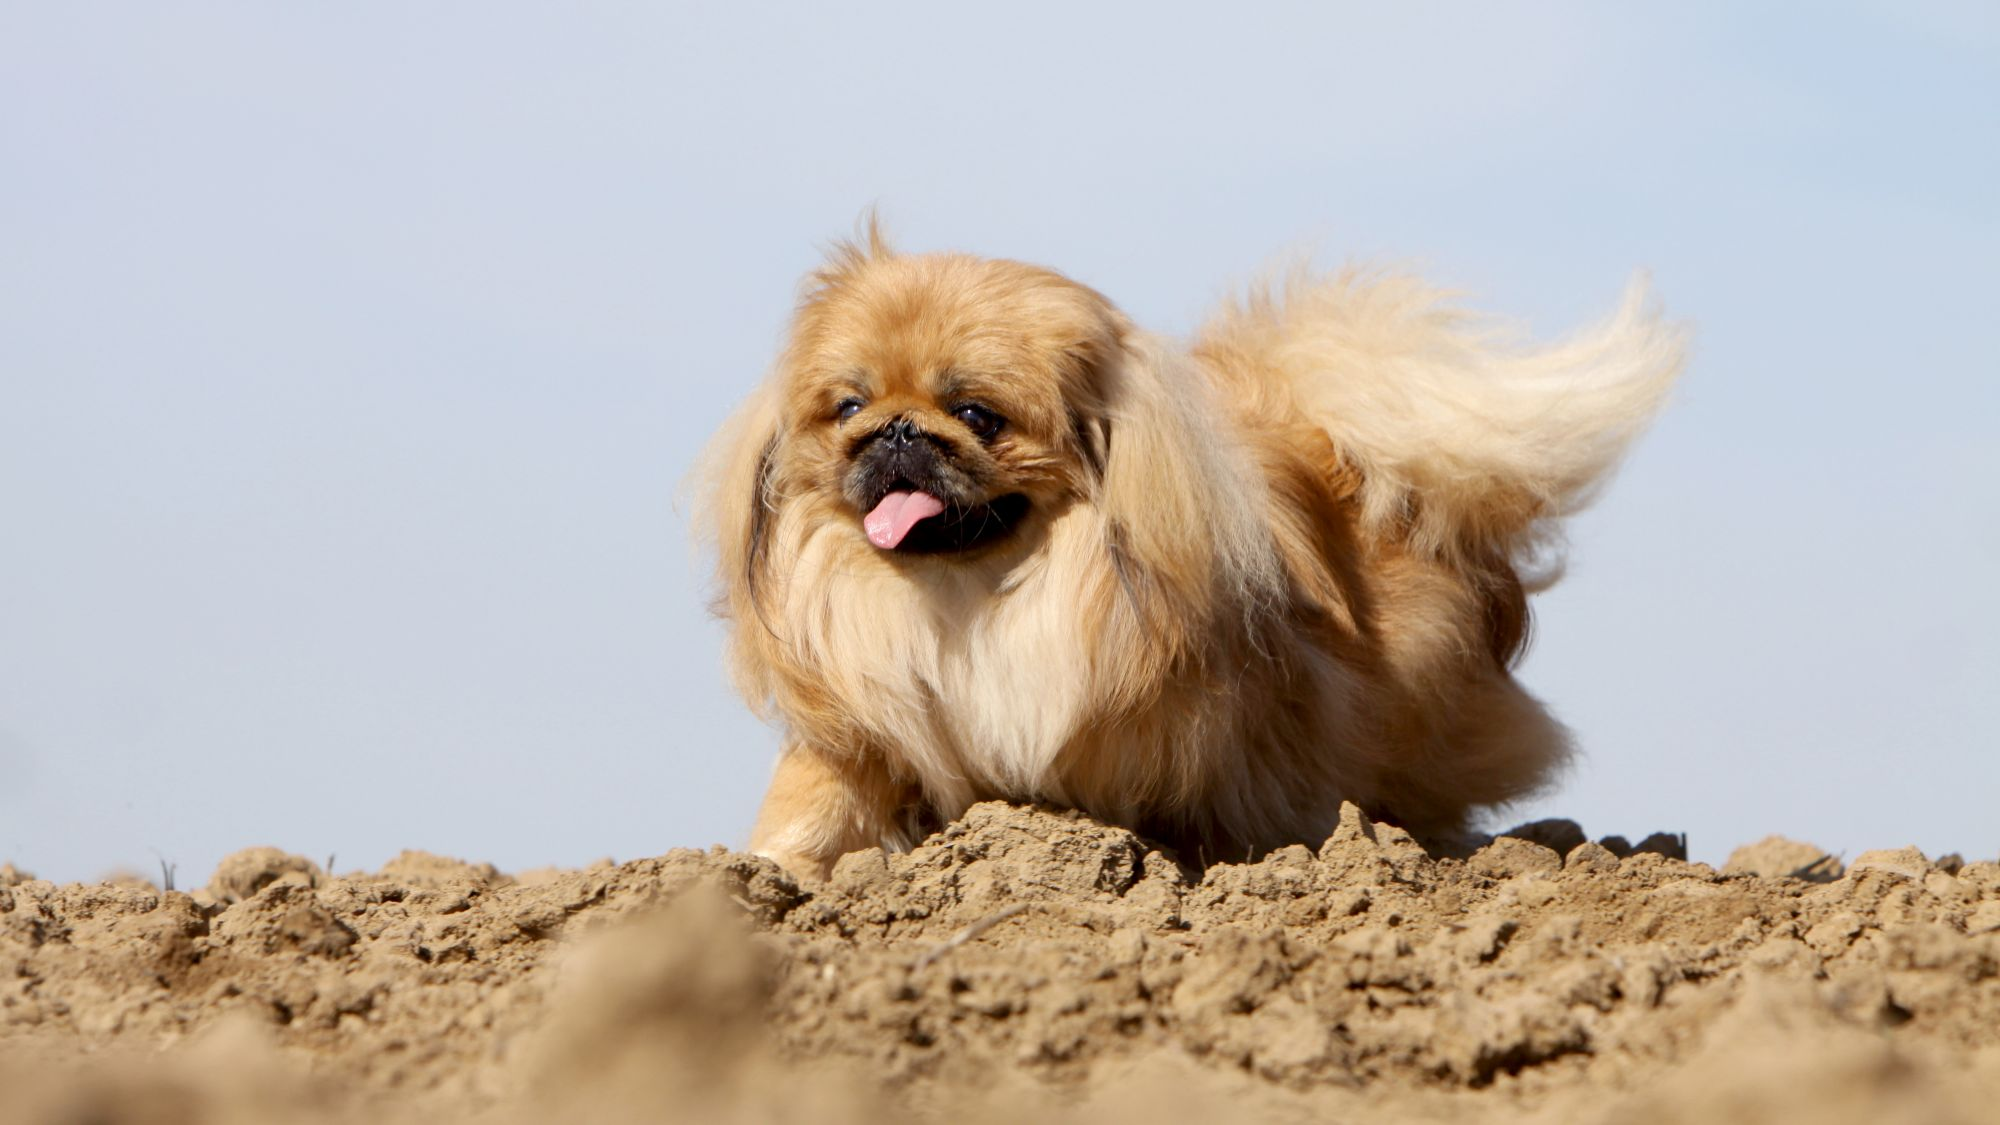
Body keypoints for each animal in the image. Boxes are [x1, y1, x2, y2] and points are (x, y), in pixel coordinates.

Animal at [696, 225, 1680, 876]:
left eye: (977, 415)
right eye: (850, 408)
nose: (898, 431)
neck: (970, 599)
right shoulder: (860, 729)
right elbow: (813, 803)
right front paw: (762, 878)